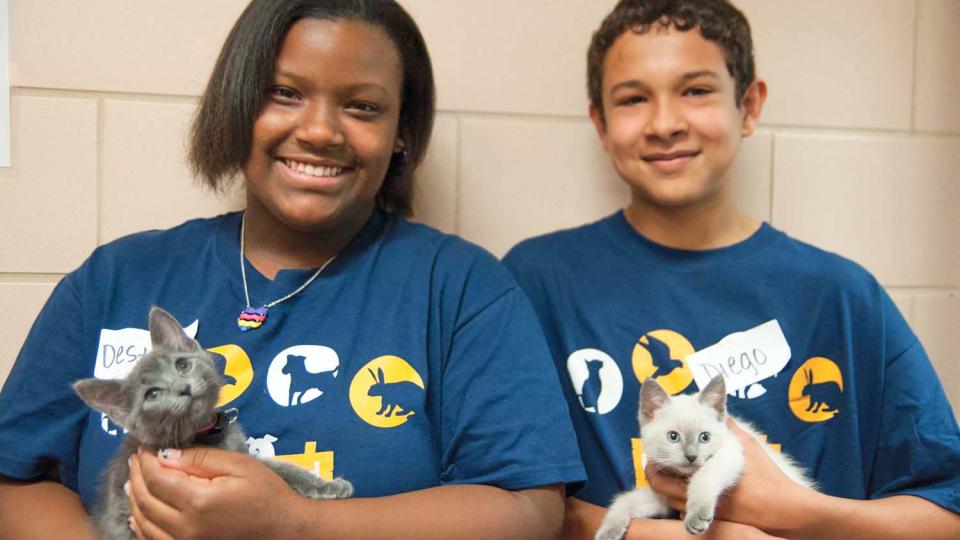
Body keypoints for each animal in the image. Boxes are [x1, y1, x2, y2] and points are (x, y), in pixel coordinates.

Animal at [75, 308, 352, 540]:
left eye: (182, 365)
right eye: (152, 395)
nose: (183, 388)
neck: (206, 435)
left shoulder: (246, 458)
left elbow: (284, 469)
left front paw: (327, 485)